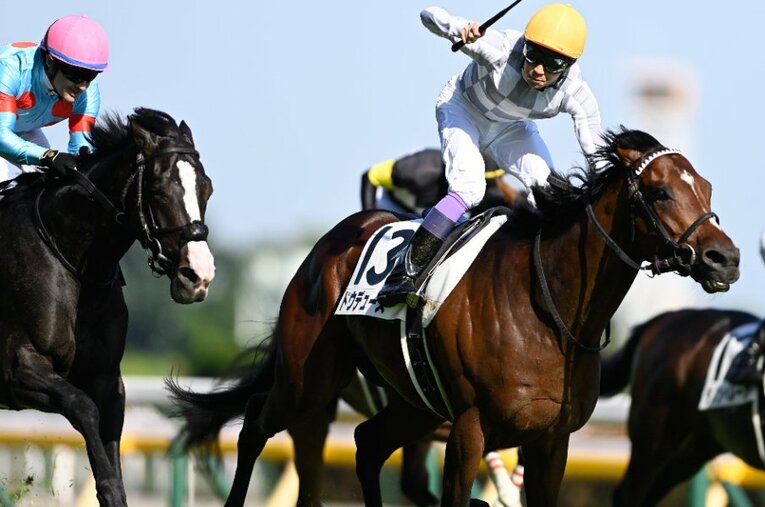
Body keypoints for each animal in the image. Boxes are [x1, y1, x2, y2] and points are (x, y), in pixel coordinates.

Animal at [0, 107, 215, 506]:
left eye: (206, 188)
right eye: (158, 190)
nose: (199, 275)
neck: (73, 262)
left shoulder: (107, 377)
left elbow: (111, 464)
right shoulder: (18, 369)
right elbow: (83, 407)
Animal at [168, 127, 739, 507]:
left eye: (707, 189)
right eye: (661, 191)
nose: (725, 258)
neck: (548, 310)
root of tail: (326, 246)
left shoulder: (551, 440)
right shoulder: (470, 428)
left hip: (413, 404)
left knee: (366, 444)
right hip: (310, 380)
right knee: (257, 422)